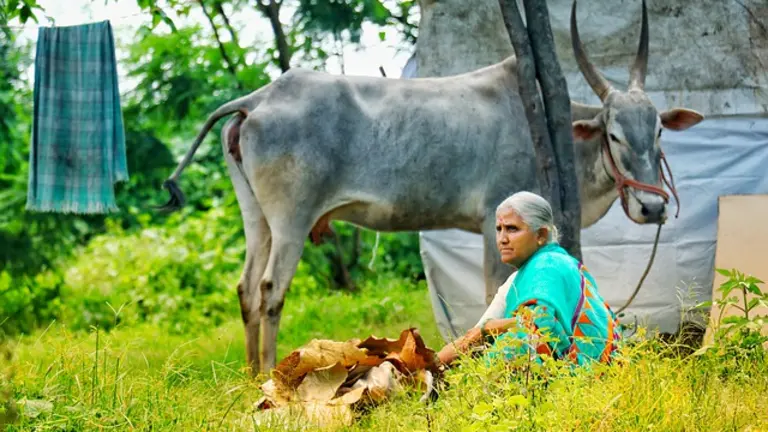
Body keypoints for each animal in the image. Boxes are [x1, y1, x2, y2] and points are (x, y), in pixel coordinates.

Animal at [158, 0, 704, 375]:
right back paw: (271, 373)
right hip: (291, 217)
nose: (652, 207)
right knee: (271, 289)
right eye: (614, 134)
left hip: (258, 218)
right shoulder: (492, 220)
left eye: (658, 130)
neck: (557, 126)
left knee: (246, 288)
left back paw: (252, 375)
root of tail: (259, 98)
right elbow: (491, 294)